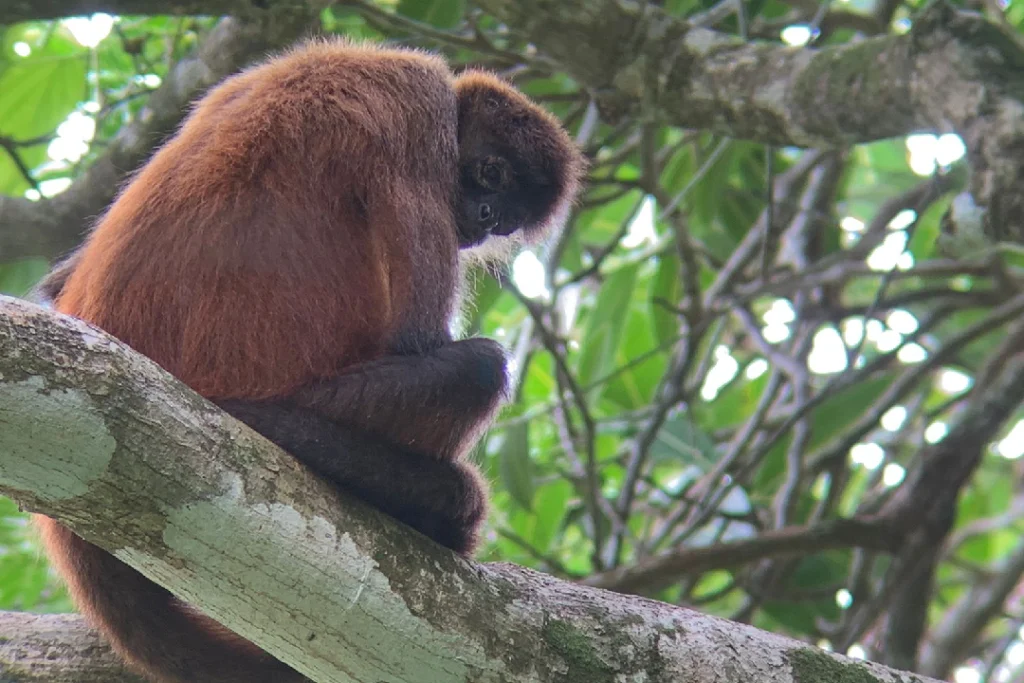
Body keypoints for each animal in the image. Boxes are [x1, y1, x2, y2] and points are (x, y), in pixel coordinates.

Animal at [31, 38, 584, 683]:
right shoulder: (417, 111)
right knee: (479, 367)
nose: (489, 217)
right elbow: (418, 341)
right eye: (492, 174)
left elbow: (49, 284)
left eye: (512, 213)